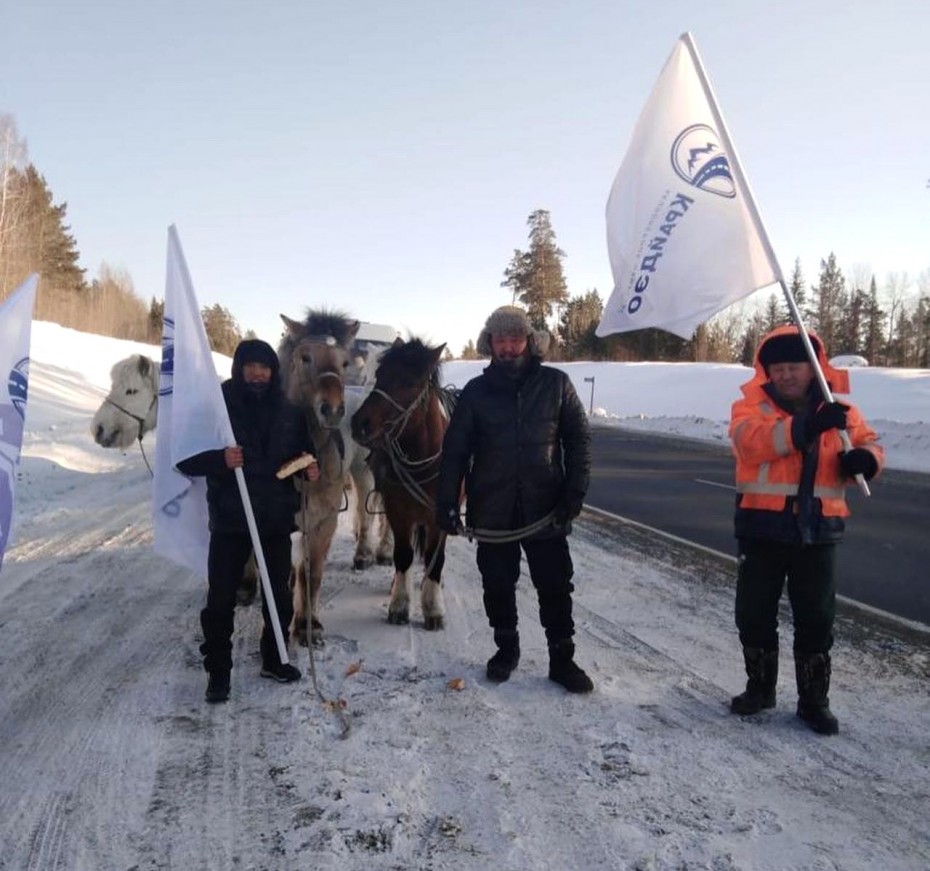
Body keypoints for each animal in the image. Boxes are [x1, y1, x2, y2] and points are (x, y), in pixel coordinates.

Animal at [278, 310, 390, 644]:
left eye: (343, 361)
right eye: (305, 357)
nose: (332, 410)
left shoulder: (324, 520)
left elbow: (313, 574)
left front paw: (309, 625)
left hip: (364, 472)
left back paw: (367, 553)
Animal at [346, 338, 454, 632]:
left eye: (410, 382)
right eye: (380, 375)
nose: (359, 423)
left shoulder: (439, 518)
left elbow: (435, 558)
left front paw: (434, 608)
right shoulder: (398, 510)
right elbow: (403, 555)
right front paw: (399, 605)